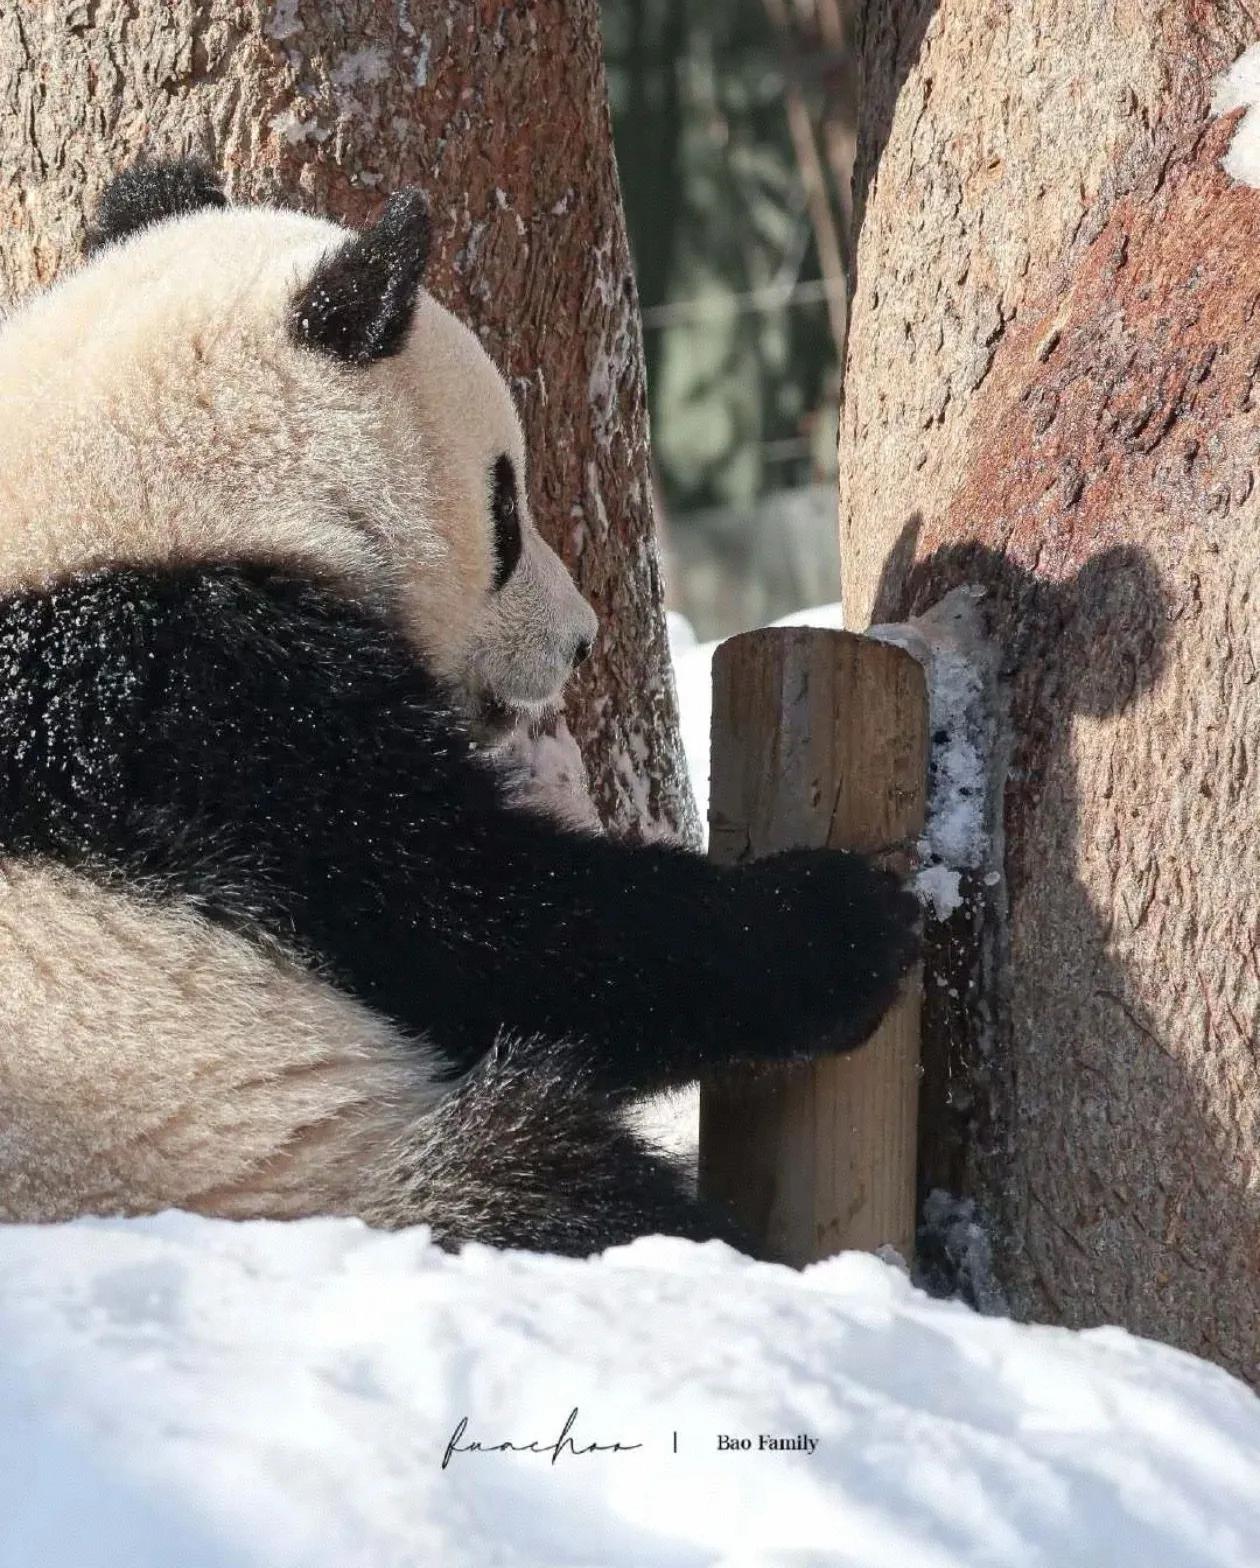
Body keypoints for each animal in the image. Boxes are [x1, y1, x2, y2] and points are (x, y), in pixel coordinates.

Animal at [0, 165, 915, 1254]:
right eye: (505, 508)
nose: (581, 639)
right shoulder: (194, 712)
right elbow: (486, 926)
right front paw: (850, 919)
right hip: (256, 1152)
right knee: (552, 1179)